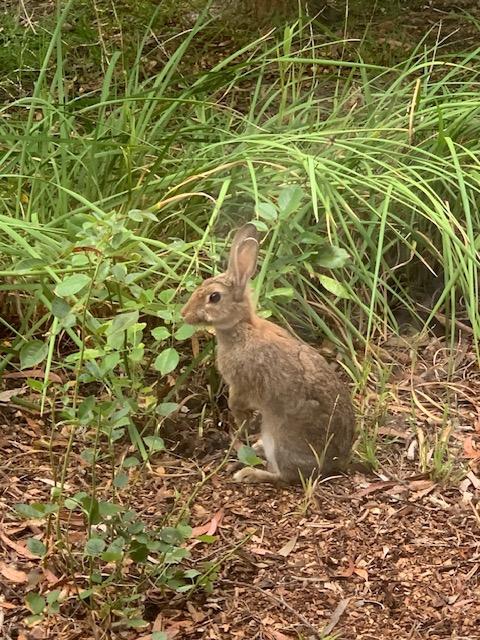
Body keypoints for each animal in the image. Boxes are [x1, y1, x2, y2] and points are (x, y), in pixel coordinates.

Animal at [180, 222, 356, 482]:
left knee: (287, 476)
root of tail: (336, 463)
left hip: (280, 435)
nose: (185, 314)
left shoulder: (241, 384)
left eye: (214, 297)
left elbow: (236, 401)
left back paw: (249, 473)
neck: (242, 327)